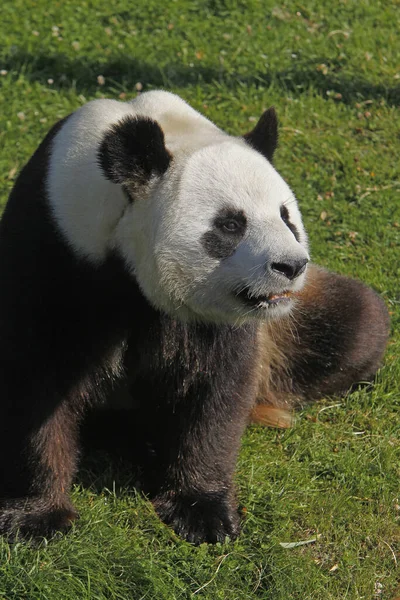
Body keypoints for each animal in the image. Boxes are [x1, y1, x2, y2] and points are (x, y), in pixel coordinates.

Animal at [0, 90, 390, 544]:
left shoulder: (222, 314)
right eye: (230, 224)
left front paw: (202, 511)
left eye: (285, 216)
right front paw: (36, 517)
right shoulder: (54, 250)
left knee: (358, 322)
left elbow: (215, 387)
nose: (291, 266)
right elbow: (36, 378)